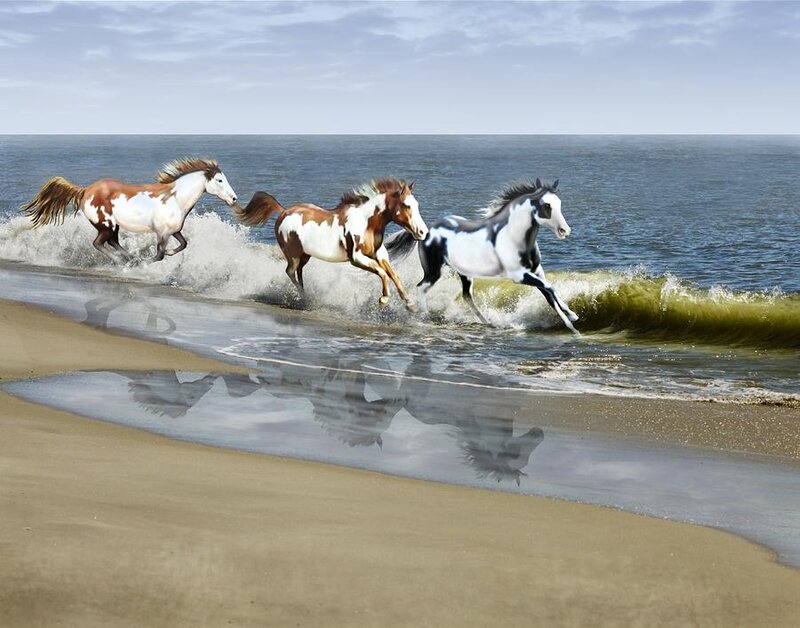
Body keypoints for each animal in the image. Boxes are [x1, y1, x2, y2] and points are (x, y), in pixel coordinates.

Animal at [20, 157, 238, 262]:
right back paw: (121, 261)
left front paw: (168, 254)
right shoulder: (162, 233)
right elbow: (158, 255)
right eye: (219, 180)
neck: (175, 198)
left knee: (113, 242)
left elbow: (183, 244)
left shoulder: (174, 230)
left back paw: (129, 257)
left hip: (114, 225)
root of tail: (85, 190)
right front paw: (145, 263)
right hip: (105, 224)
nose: (234, 198)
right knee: (99, 243)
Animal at [233, 178, 428, 310]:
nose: (422, 232)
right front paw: (384, 299)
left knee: (298, 272)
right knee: (290, 271)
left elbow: (393, 274)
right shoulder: (356, 258)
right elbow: (382, 273)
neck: (367, 222)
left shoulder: (380, 254)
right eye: (406, 205)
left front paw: (410, 304)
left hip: (305, 255)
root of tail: (284, 211)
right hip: (294, 255)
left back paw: (306, 296)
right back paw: (306, 299)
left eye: (417, 204)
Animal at [385, 178, 579, 332]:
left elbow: (549, 292)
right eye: (546, 205)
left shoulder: (536, 271)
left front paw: (571, 316)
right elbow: (550, 288)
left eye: (559, 203)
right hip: (434, 271)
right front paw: (571, 321)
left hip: (464, 273)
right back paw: (425, 318)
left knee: (467, 295)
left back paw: (487, 322)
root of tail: (427, 231)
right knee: (421, 288)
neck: (513, 236)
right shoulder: (519, 276)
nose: (565, 231)